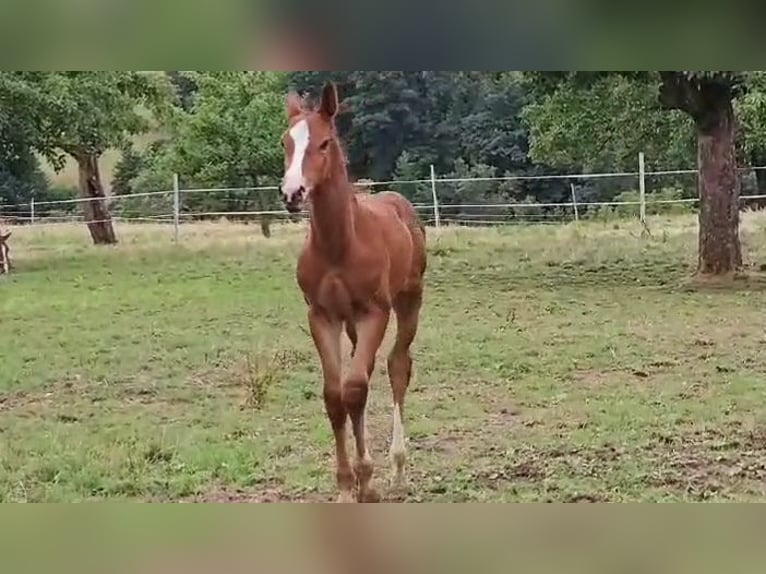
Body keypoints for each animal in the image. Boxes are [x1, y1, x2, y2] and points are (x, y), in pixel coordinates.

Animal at [280, 82, 428, 504]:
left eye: (325, 142)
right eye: (286, 142)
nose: (292, 192)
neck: (339, 245)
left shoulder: (373, 312)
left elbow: (356, 388)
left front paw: (367, 480)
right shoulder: (321, 315)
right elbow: (336, 395)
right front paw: (349, 486)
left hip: (409, 301)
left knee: (397, 366)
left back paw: (397, 467)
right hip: (350, 323)